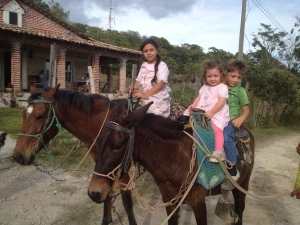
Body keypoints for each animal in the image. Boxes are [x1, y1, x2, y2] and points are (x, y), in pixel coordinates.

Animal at [12, 85, 138, 225]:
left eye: (40, 116)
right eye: (23, 115)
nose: (18, 155)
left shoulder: (124, 172)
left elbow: (127, 204)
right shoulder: (104, 170)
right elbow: (106, 196)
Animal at [88, 102, 254, 225]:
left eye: (117, 145)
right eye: (97, 144)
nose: (94, 192)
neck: (176, 159)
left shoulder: (198, 203)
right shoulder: (170, 202)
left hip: (243, 183)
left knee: (240, 208)